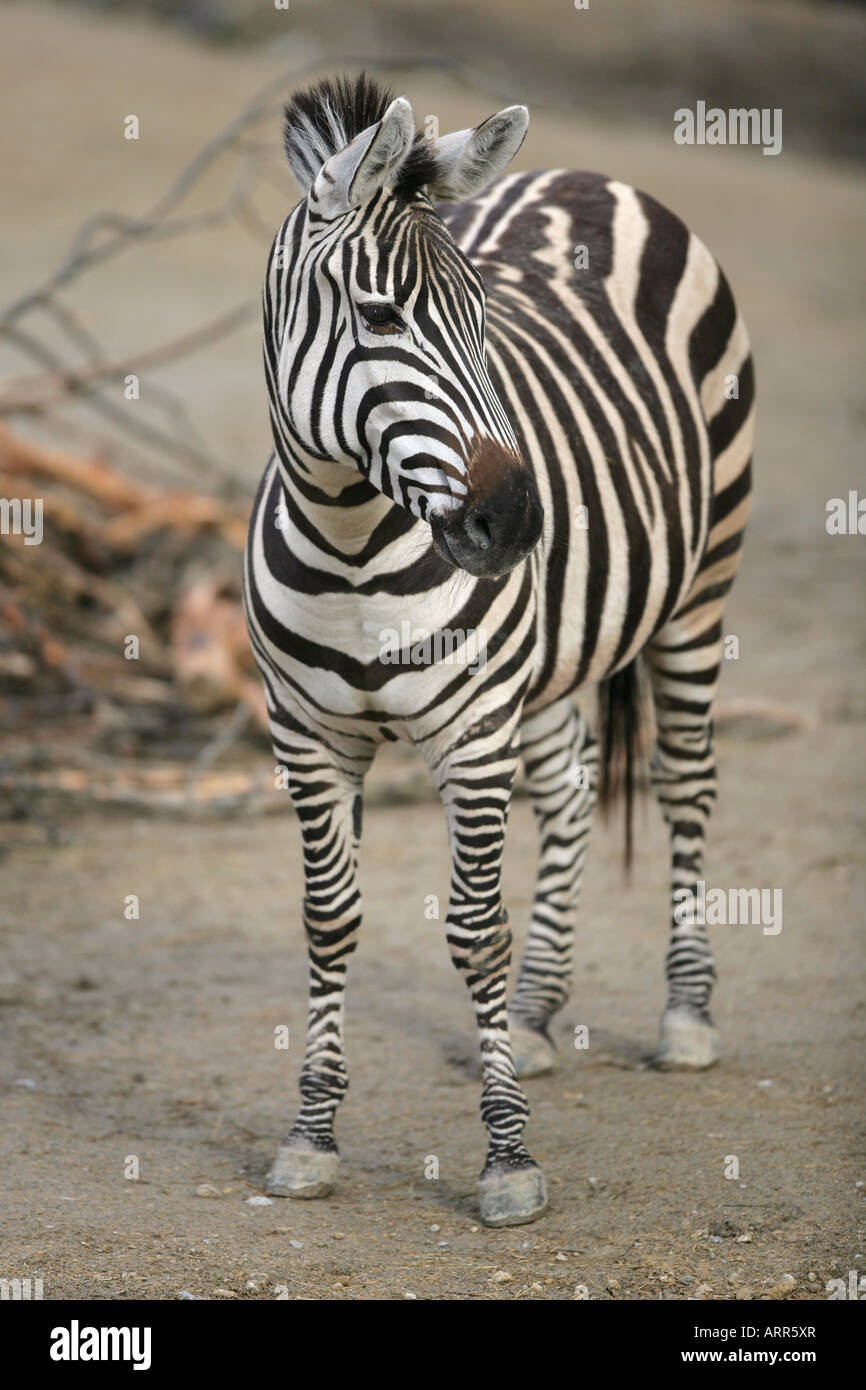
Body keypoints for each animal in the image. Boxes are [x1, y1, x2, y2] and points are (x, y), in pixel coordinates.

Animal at [244, 73, 750, 1228]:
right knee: (570, 788)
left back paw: (686, 1015)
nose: (518, 522)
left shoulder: (471, 735)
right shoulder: (307, 739)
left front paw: (508, 1159)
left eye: (484, 321)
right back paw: (536, 1014)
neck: (352, 540)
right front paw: (310, 1136)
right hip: (552, 658)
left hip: (702, 585)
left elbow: (476, 929)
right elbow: (328, 920)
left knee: (687, 780)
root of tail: (592, 177)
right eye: (379, 316)